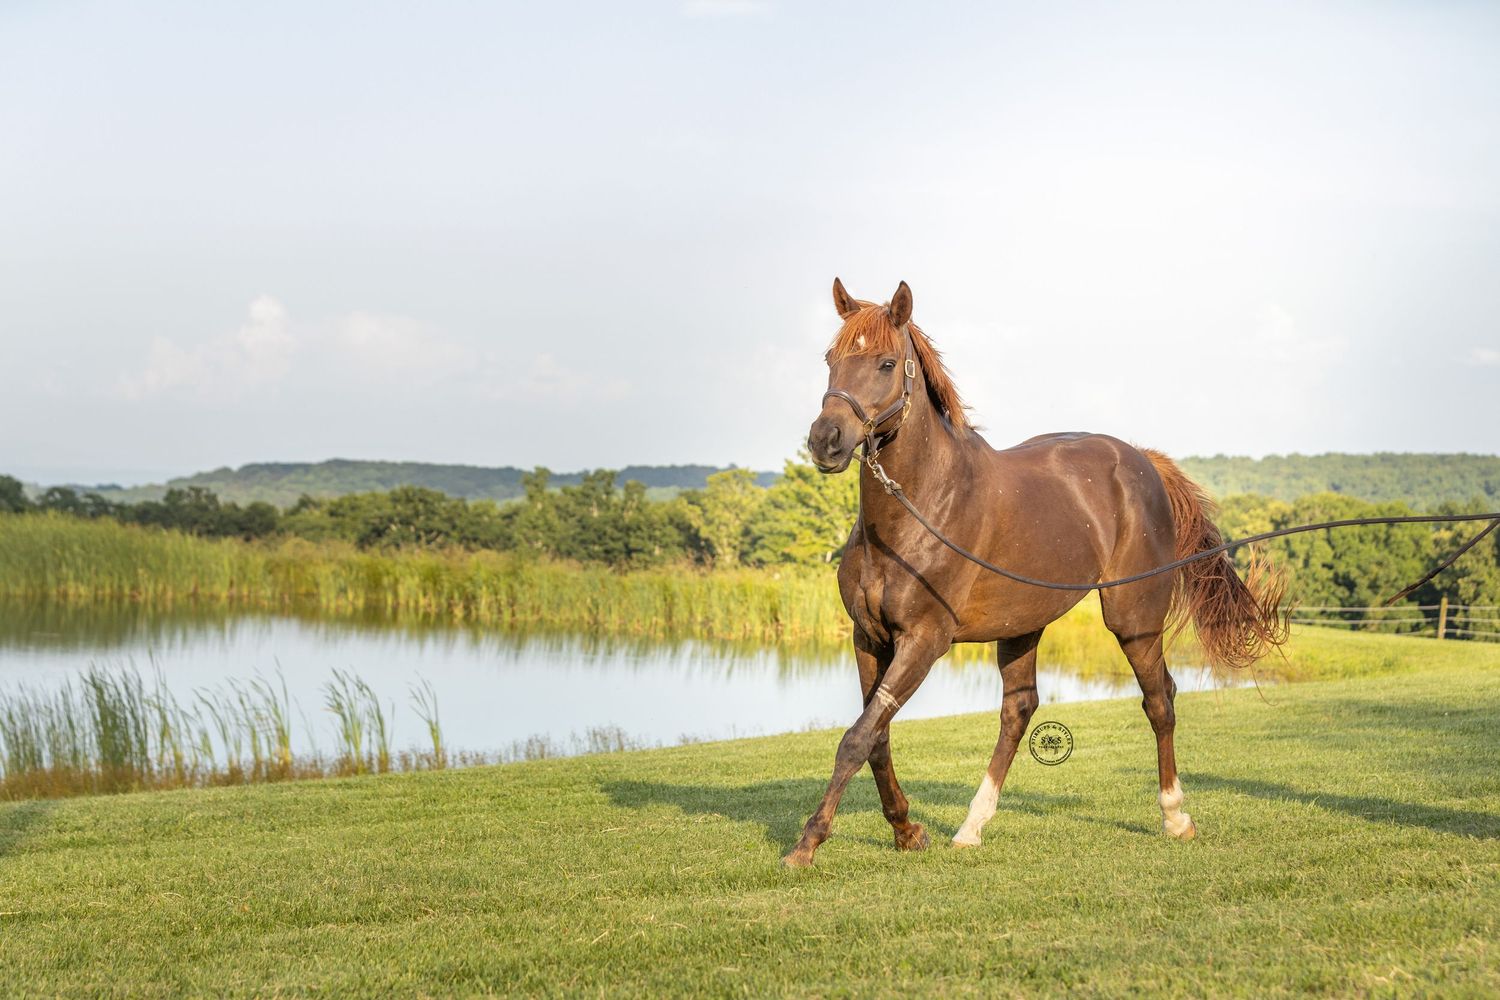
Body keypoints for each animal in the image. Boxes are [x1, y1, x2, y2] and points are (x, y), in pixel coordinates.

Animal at [786, 277, 1287, 868]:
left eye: (886, 363)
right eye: (831, 359)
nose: (826, 440)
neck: (918, 513)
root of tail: (1142, 461)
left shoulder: (923, 641)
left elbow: (857, 739)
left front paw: (808, 843)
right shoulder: (869, 638)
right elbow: (876, 737)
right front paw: (907, 829)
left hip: (1134, 620)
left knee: (1159, 700)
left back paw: (1175, 816)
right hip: (1022, 626)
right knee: (1019, 710)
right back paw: (972, 826)